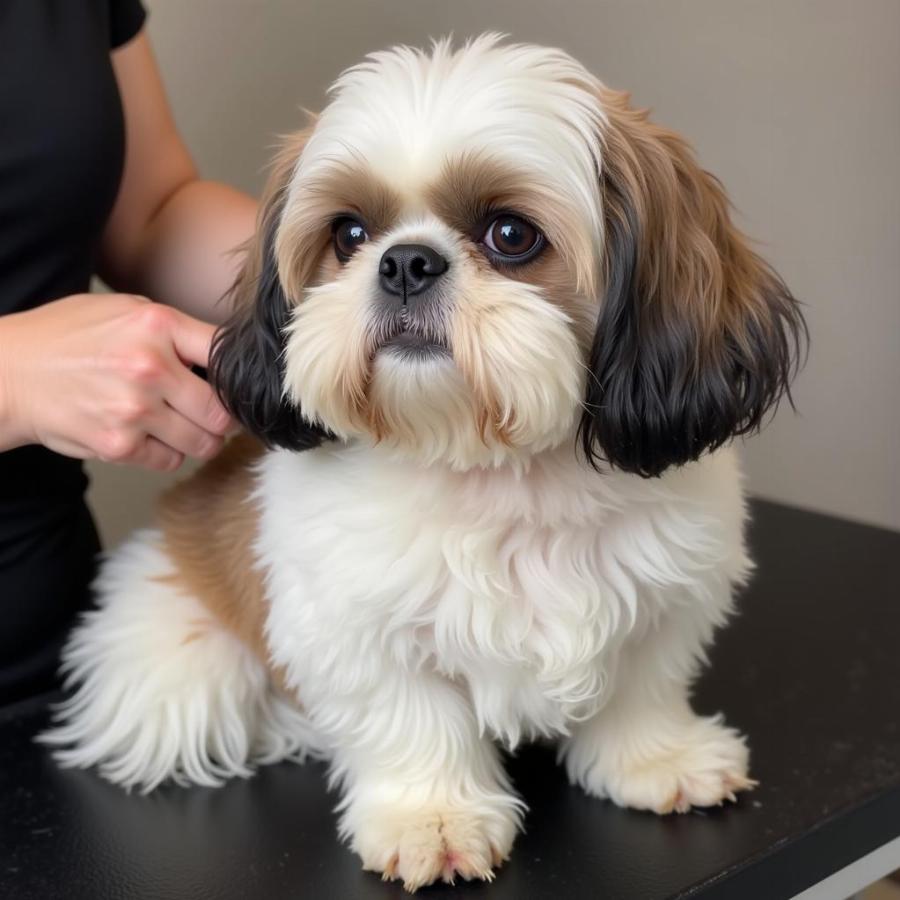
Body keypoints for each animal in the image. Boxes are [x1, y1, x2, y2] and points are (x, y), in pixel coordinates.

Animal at [42, 37, 804, 892]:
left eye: (510, 235)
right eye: (348, 234)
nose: (405, 262)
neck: (500, 471)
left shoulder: (668, 599)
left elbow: (642, 686)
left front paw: (656, 758)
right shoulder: (354, 626)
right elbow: (411, 720)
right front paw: (431, 817)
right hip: (179, 672)